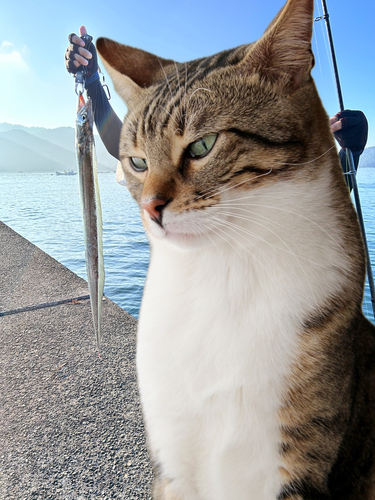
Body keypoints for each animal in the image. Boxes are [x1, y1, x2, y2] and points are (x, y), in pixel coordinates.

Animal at [95, 0, 375, 498]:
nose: (150, 207)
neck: (220, 270)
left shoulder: (295, 465)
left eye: (203, 146)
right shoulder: (172, 459)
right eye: (138, 162)